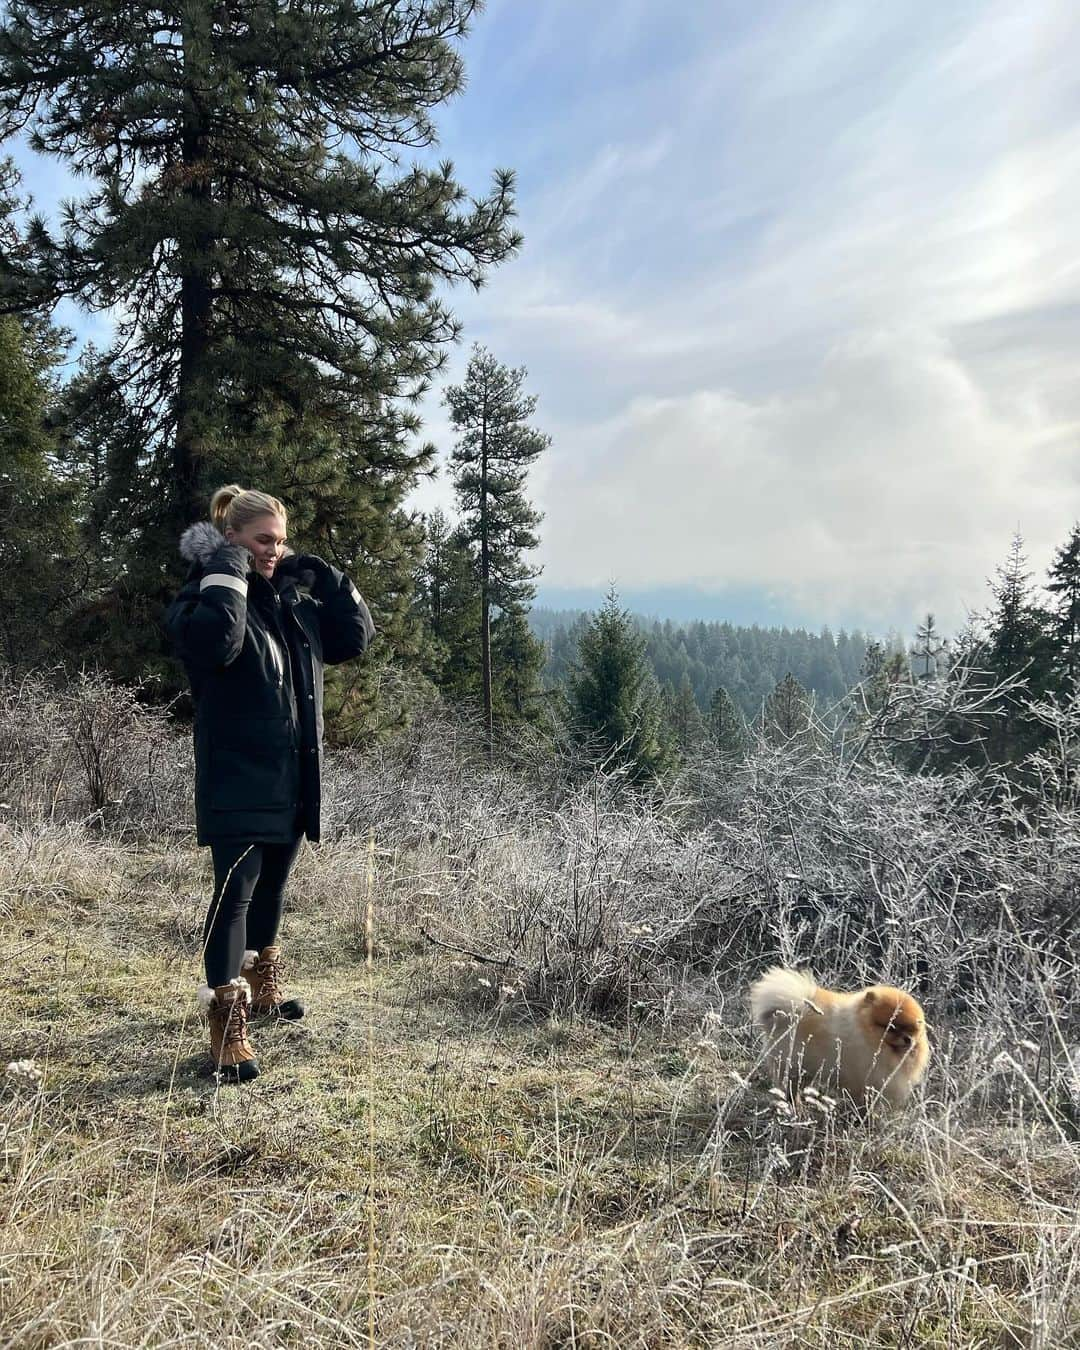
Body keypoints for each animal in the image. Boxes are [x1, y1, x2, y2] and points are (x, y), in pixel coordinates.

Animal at [750, 972, 928, 1107]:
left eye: (913, 1030)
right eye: (891, 1027)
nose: (908, 1039)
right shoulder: (863, 1081)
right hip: (794, 1065)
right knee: (790, 1086)